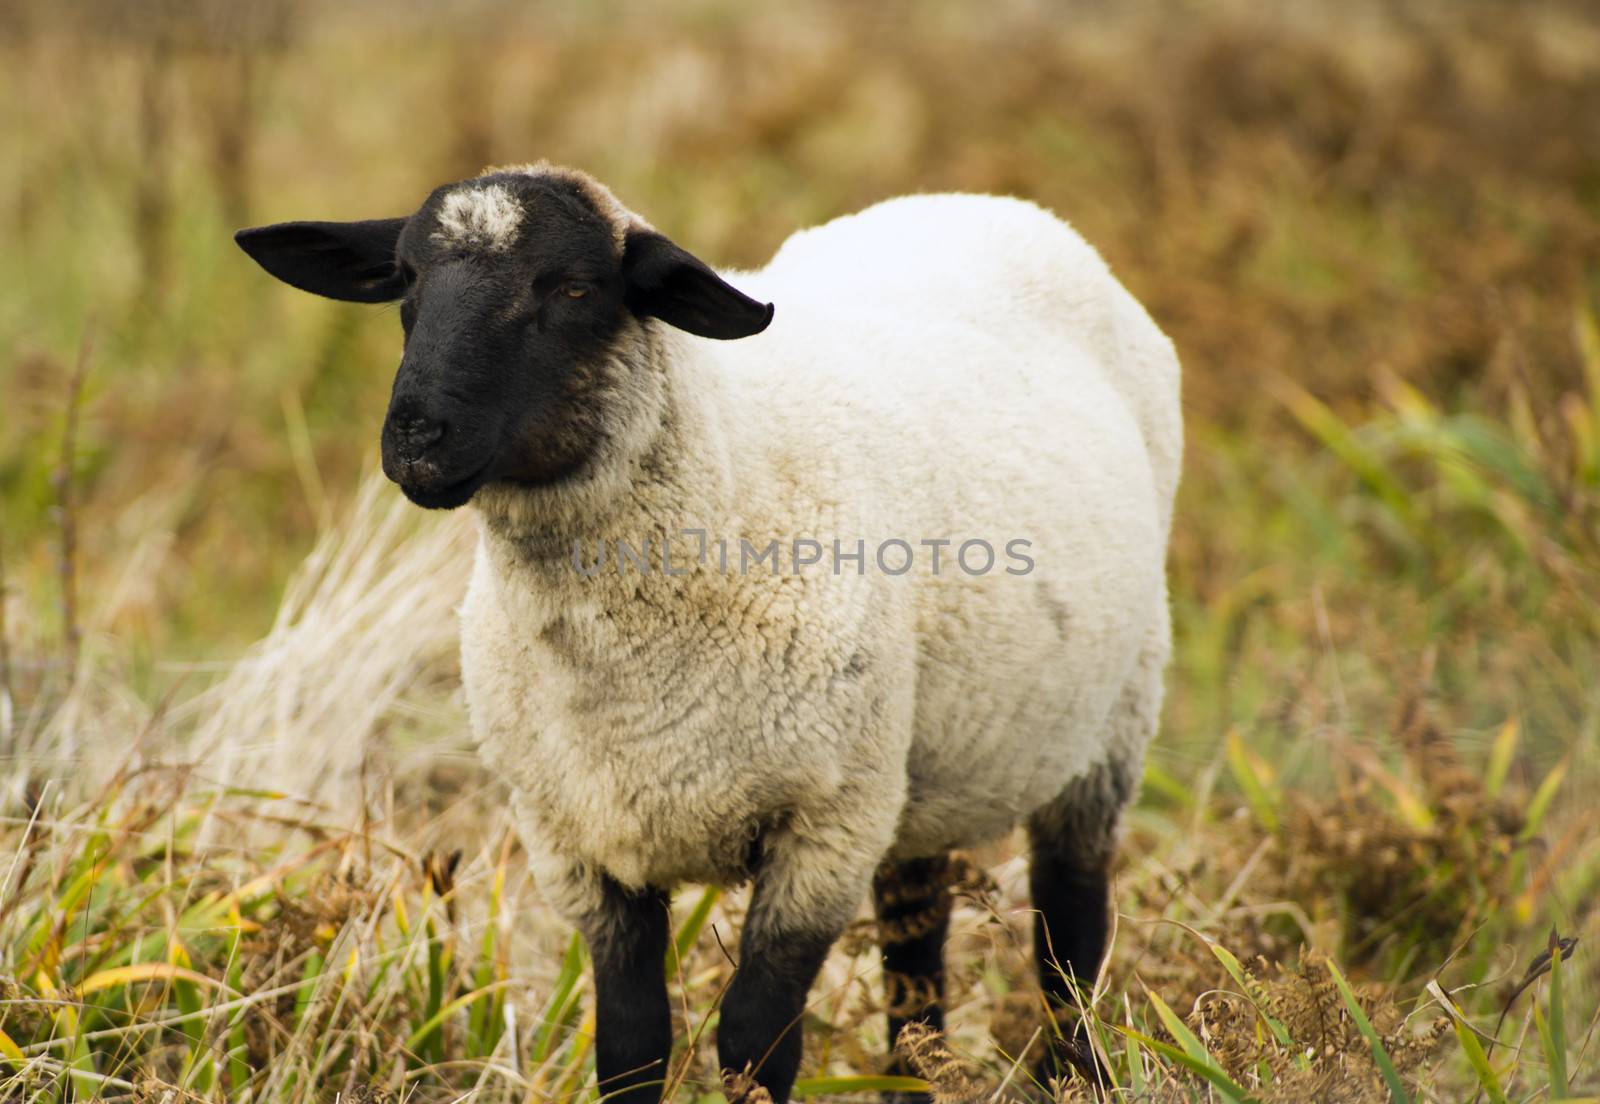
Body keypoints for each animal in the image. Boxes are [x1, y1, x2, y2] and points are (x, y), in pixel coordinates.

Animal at [240, 159, 1190, 1094]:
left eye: (576, 288)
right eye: (405, 279)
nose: (418, 440)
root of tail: (982, 201)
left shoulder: (824, 827)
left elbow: (754, 1043)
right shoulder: (577, 841)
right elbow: (630, 1045)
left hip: (1106, 726)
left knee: (1069, 936)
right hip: (916, 765)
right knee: (915, 942)